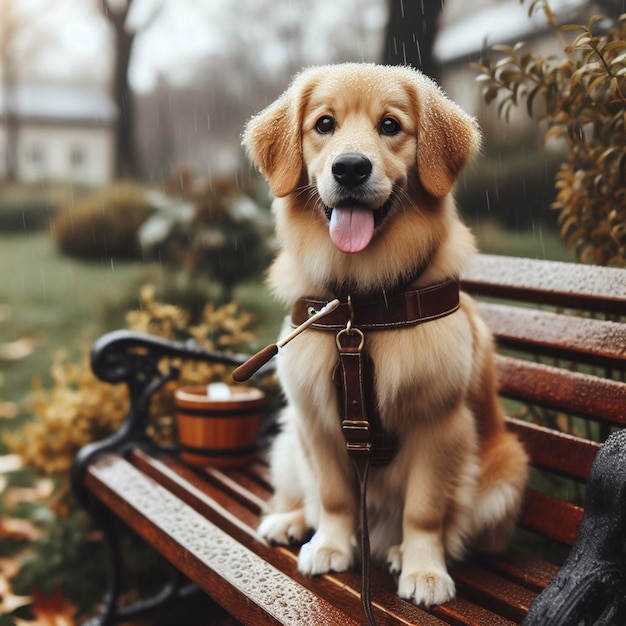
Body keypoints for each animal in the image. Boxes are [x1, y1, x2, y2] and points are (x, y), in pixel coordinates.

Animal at [241, 63, 524, 604]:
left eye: (390, 125)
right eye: (324, 124)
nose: (350, 168)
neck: (360, 305)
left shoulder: (440, 424)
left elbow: (425, 511)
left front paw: (425, 570)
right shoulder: (315, 419)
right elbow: (331, 495)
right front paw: (331, 545)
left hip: (504, 476)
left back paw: (396, 551)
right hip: (288, 442)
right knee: (302, 495)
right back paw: (290, 522)